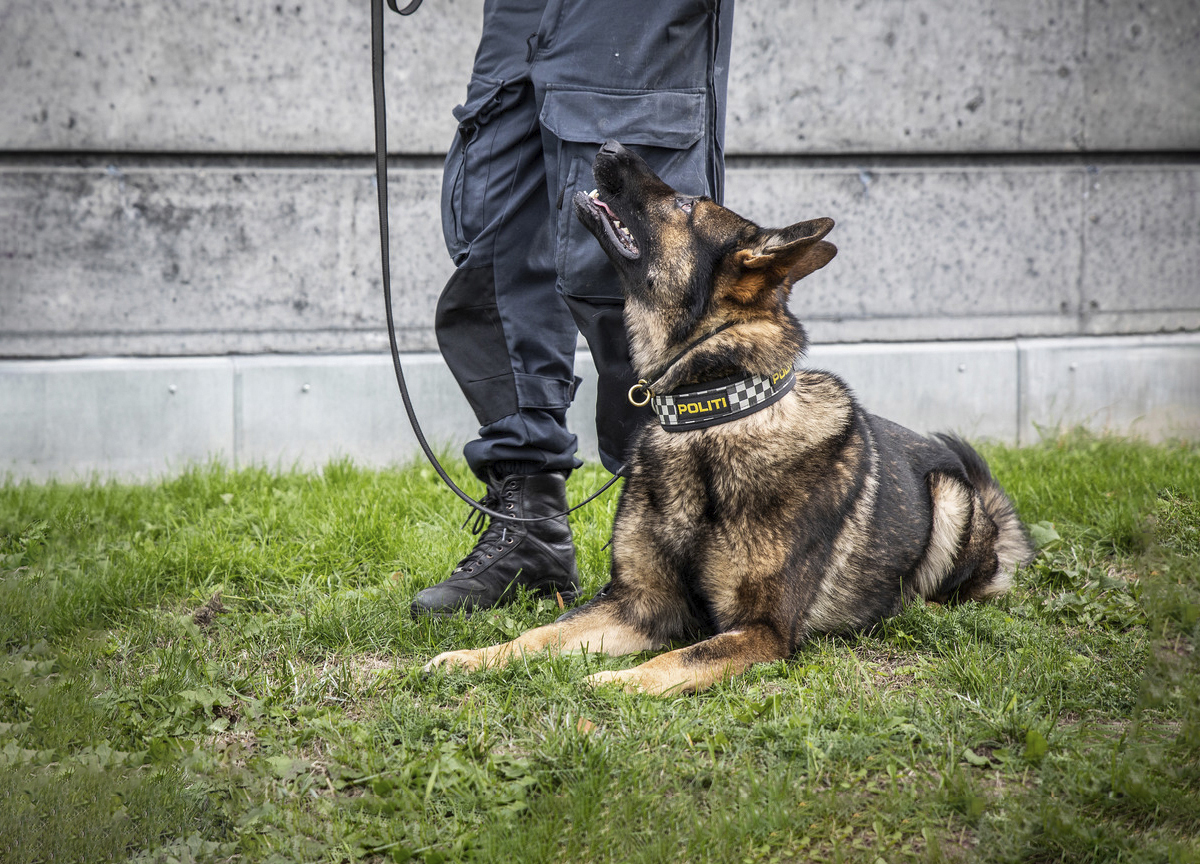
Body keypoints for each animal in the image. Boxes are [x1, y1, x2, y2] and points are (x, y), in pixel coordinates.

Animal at [424, 140, 1034, 695]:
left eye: (687, 204)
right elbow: (542, 635)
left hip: (950, 495)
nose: (610, 144)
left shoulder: (762, 630)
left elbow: (679, 657)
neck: (708, 413)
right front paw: (474, 658)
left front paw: (614, 681)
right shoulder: (635, 604)